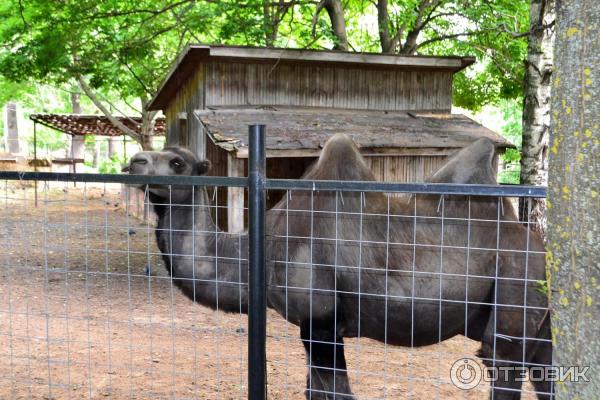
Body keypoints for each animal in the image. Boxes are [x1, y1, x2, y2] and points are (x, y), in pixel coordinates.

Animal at [124, 136, 552, 398]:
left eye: (176, 162)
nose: (134, 161)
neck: (261, 249)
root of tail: (543, 250)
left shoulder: (321, 321)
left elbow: (334, 392)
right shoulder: (312, 326)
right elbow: (315, 390)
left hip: (516, 285)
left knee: (504, 361)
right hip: (539, 316)